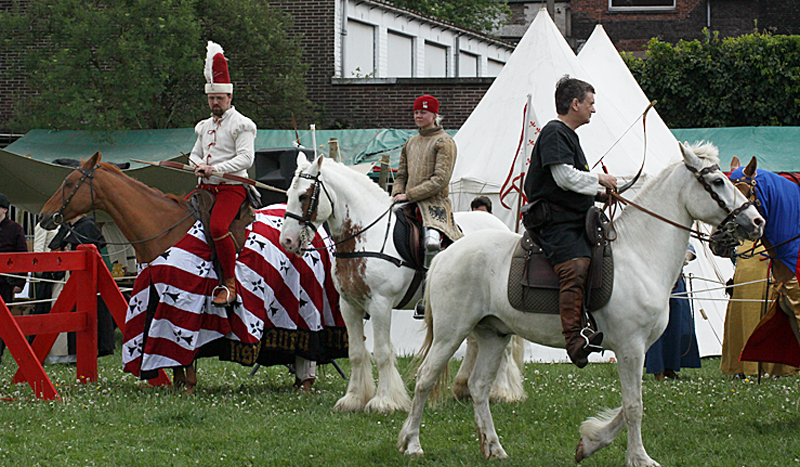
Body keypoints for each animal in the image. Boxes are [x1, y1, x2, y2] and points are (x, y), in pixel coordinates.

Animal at [280, 154, 520, 414]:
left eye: (304, 196)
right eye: (288, 194)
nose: (287, 241)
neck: (366, 236)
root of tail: (500, 226)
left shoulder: (380, 305)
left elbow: (382, 352)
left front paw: (385, 401)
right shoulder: (349, 305)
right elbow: (356, 352)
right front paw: (353, 399)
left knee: (504, 348)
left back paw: (504, 392)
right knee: (475, 343)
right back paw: (463, 387)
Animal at [398, 144, 764, 467]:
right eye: (717, 181)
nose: (757, 222)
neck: (640, 254)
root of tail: (446, 254)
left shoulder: (638, 349)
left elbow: (630, 403)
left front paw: (590, 443)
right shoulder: (630, 348)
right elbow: (634, 405)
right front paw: (639, 457)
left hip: (493, 335)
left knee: (479, 387)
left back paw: (494, 448)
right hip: (451, 333)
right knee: (426, 379)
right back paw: (412, 444)